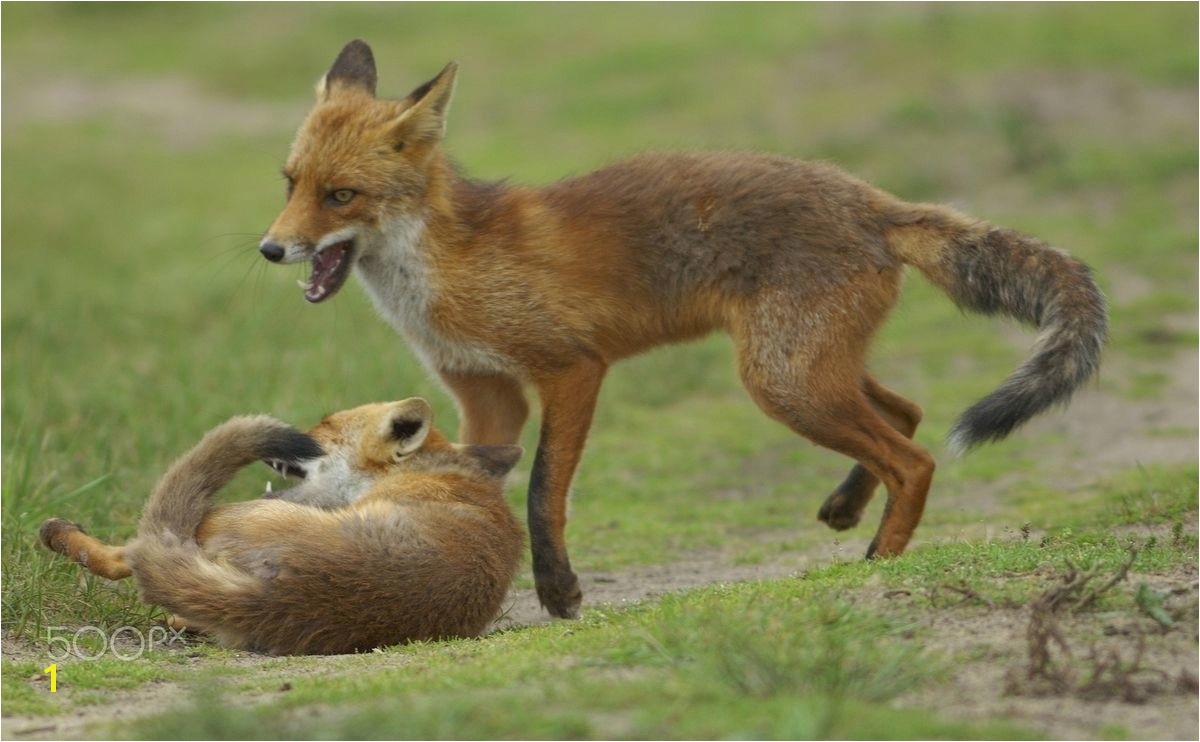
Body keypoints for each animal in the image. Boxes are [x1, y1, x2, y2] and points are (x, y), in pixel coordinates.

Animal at [41, 398, 520, 653]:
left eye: (324, 427)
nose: (296, 432)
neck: (427, 473)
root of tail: (287, 592)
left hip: (219, 516)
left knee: (129, 555)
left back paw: (59, 534)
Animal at [260, 42, 1104, 619]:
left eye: (340, 195)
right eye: (291, 182)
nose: (270, 249)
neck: (446, 267)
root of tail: (872, 199)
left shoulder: (572, 368)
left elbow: (541, 490)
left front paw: (558, 591)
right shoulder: (486, 393)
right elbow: (475, 477)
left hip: (782, 380)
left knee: (915, 458)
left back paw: (878, 562)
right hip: (807, 367)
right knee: (907, 412)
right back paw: (845, 507)